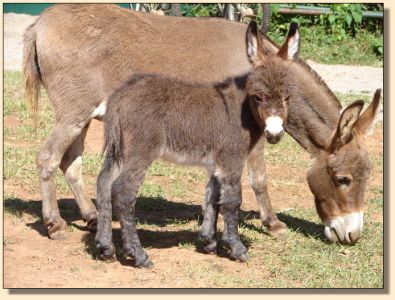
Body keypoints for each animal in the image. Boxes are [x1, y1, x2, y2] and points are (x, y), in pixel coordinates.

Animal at [96, 22, 300, 268]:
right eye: (258, 97)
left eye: (287, 97)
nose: (274, 134)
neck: (242, 110)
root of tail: (120, 95)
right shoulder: (231, 159)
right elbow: (232, 201)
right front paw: (236, 248)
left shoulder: (215, 164)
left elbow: (212, 198)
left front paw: (209, 242)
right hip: (141, 152)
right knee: (123, 191)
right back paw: (139, 255)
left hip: (119, 151)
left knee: (104, 183)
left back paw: (106, 249)